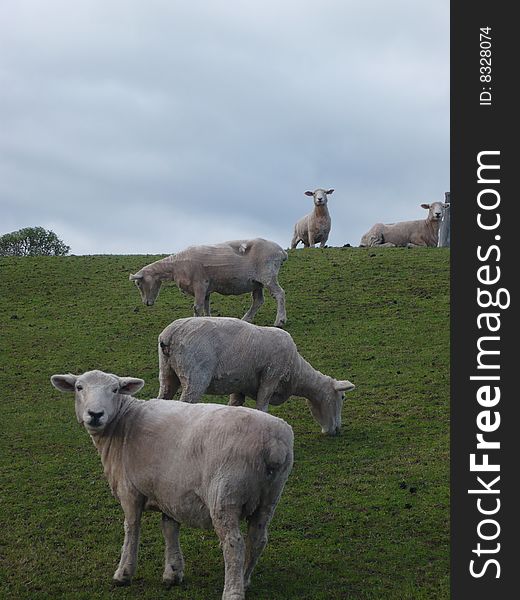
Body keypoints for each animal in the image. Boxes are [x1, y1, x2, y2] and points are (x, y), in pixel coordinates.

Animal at [50, 370, 294, 600]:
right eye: (79, 387)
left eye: (115, 389)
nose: (95, 414)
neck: (122, 424)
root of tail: (273, 444)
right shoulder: (171, 491)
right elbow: (169, 528)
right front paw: (172, 572)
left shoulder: (130, 490)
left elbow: (131, 527)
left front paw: (123, 573)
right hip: (270, 496)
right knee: (258, 538)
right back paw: (244, 580)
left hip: (225, 495)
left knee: (233, 543)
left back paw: (233, 591)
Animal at [127, 237, 286, 326]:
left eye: (138, 284)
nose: (146, 303)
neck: (175, 266)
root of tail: (281, 252)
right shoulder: (207, 289)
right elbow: (206, 307)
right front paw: (208, 321)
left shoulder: (200, 284)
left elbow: (197, 307)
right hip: (256, 282)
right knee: (258, 300)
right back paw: (246, 319)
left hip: (268, 276)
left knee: (279, 294)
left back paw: (280, 321)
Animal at [156, 314, 356, 436]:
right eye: (343, 397)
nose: (337, 430)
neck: (296, 372)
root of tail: (170, 336)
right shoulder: (271, 377)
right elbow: (262, 407)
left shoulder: (239, 386)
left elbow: (235, 406)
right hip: (195, 376)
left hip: (167, 374)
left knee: (161, 399)